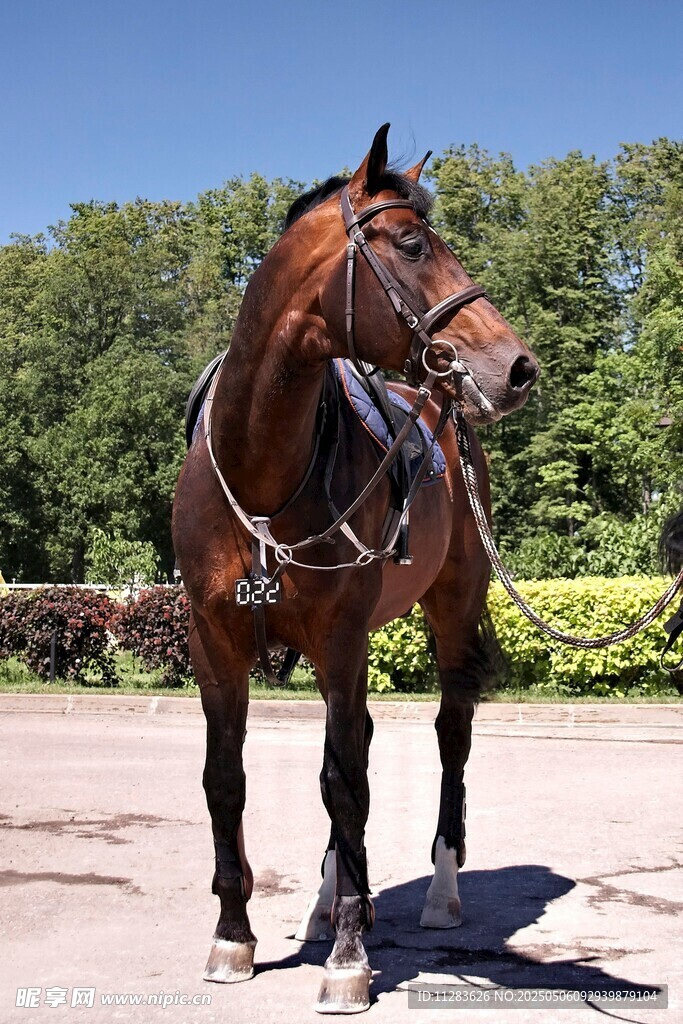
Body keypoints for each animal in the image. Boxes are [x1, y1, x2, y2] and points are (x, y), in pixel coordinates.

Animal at [172, 124, 540, 1013]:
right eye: (410, 243)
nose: (515, 368)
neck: (261, 469)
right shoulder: (213, 641)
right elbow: (227, 780)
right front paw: (234, 936)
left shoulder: (340, 636)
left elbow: (344, 783)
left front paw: (346, 959)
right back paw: (332, 899)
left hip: (448, 613)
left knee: (447, 738)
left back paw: (436, 893)